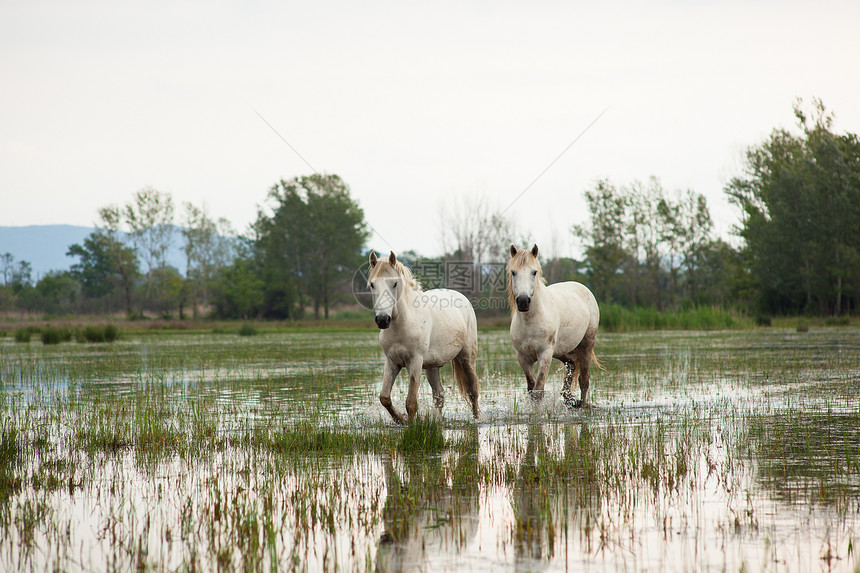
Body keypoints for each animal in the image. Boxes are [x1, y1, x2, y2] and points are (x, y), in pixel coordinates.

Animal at [366, 252, 480, 422]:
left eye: (394, 283)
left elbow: (411, 403)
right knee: (439, 395)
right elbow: (384, 397)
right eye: (372, 284)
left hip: (467, 358)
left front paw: (411, 425)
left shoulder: (415, 362)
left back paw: (477, 419)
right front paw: (400, 419)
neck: (403, 325)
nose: (382, 319)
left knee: (473, 390)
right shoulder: (392, 363)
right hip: (432, 366)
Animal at [508, 244, 600, 404]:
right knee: (572, 363)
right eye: (513, 272)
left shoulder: (545, 354)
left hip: (586, 345)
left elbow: (538, 389)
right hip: (562, 351)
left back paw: (581, 405)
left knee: (584, 380)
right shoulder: (523, 358)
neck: (530, 322)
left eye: (534, 272)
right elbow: (531, 388)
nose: (523, 301)